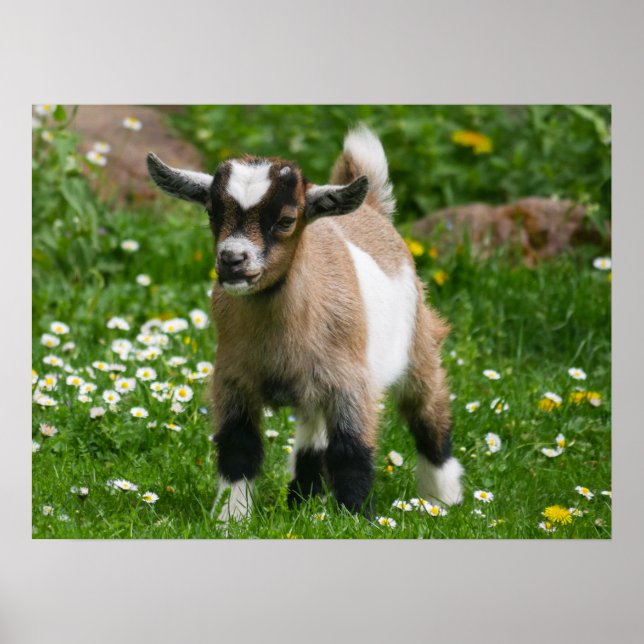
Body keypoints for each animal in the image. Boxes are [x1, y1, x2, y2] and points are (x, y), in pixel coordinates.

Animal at [147, 124, 463, 520]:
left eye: (285, 220)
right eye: (211, 214)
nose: (232, 259)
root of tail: (372, 209)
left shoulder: (351, 383)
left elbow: (351, 451)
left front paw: (357, 518)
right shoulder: (233, 378)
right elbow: (239, 447)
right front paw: (230, 518)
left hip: (418, 344)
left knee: (428, 413)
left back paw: (443, 499)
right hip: (313, 388)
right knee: (313, 434)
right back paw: (303, 498)